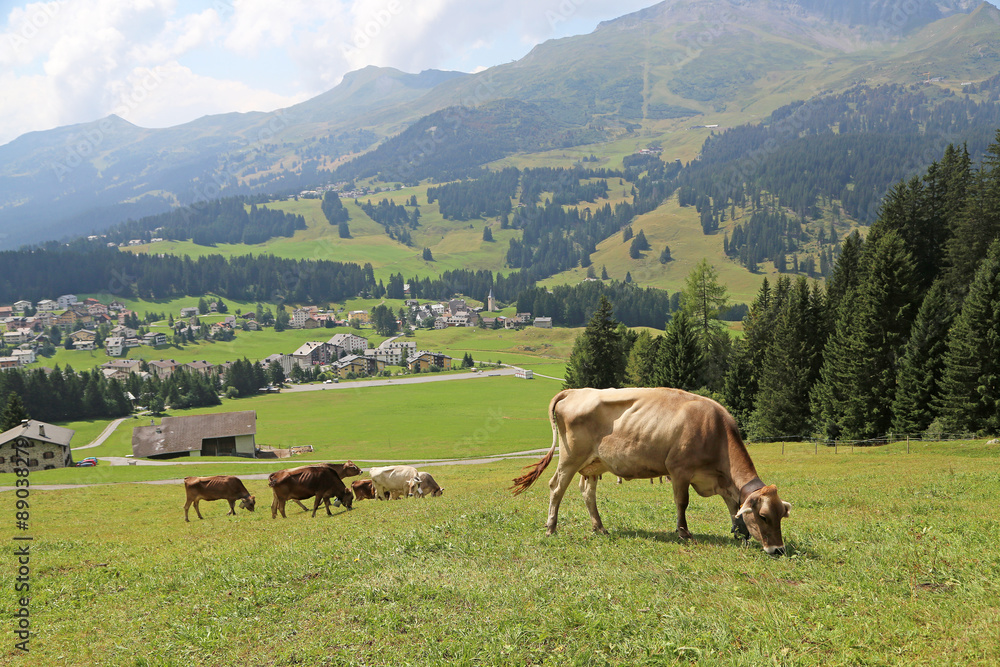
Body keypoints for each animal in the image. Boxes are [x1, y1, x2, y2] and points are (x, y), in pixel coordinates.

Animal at [512, 388, 792, 556]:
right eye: (764, 516)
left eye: (781, 515)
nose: (778, 549)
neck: (715, 431)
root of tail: (576, 391)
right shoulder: (679, 471)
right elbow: (682, 503)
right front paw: (684, 533)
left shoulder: (720, 480)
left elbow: (734, 505)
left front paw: (740, 532)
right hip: (570, 457)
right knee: (556, 488)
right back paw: (551, 527)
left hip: (594, 463)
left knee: (587, 493)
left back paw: (599, 527)